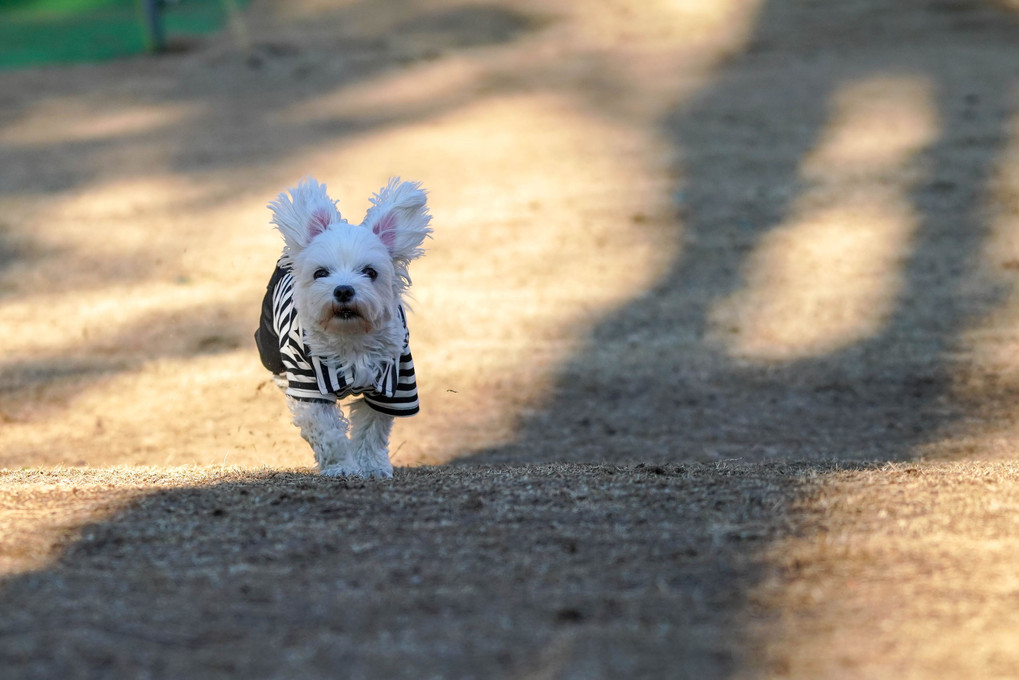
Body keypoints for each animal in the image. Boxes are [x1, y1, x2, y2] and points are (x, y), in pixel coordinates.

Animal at [256, 179, 432, 479]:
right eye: (320, 273)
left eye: (370, 272)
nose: (343, 290)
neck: (350, 338)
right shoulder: (308, 386)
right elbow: (327, 432)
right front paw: (341, 467)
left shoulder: (395, 383)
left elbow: (371, 431)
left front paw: (371, 467)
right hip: (268, 345)